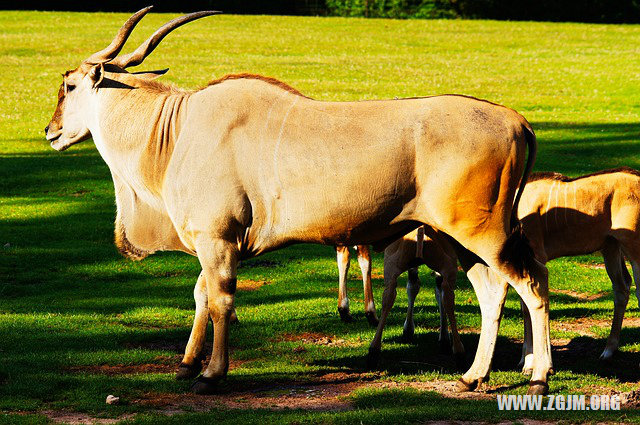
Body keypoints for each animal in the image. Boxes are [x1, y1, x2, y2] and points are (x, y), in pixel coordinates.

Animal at [46, 7, 556, 394]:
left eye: (68, 86)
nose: (50, 132)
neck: (176, 129)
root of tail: (516, 120)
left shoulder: (217, 240)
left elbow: (220, 300)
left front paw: (211, 374)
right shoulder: (213, 243)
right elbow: (200, 294)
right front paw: (187, 364)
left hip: (482, 234)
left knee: (530, 286)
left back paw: (539, 378)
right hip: (465, 241)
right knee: (493, 292)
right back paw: (473, 375)